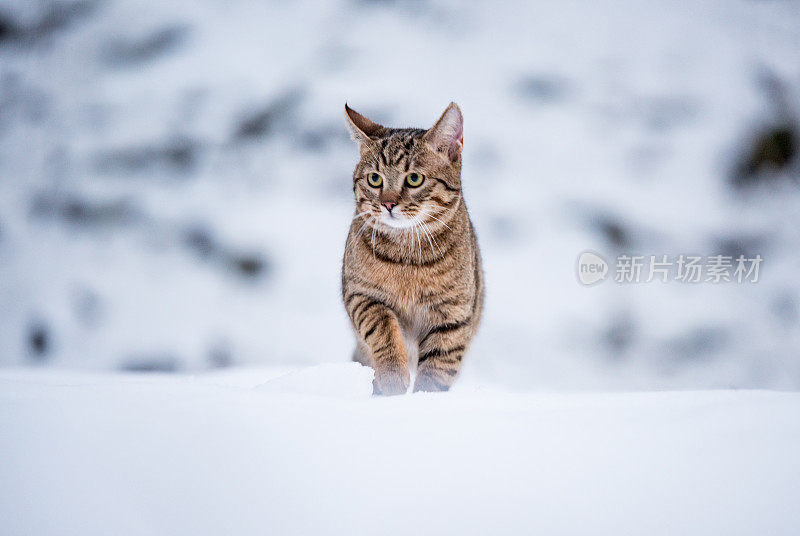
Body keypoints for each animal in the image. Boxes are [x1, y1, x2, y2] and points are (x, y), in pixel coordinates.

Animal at [340, 101, 484, 394]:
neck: (407, 254)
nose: (388, 203)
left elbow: (437, 368)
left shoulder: (454, 315)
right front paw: (392, 378)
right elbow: (383, 327)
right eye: (374, 179)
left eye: (414, 178)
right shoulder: (361, 294)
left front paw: (424, 398)